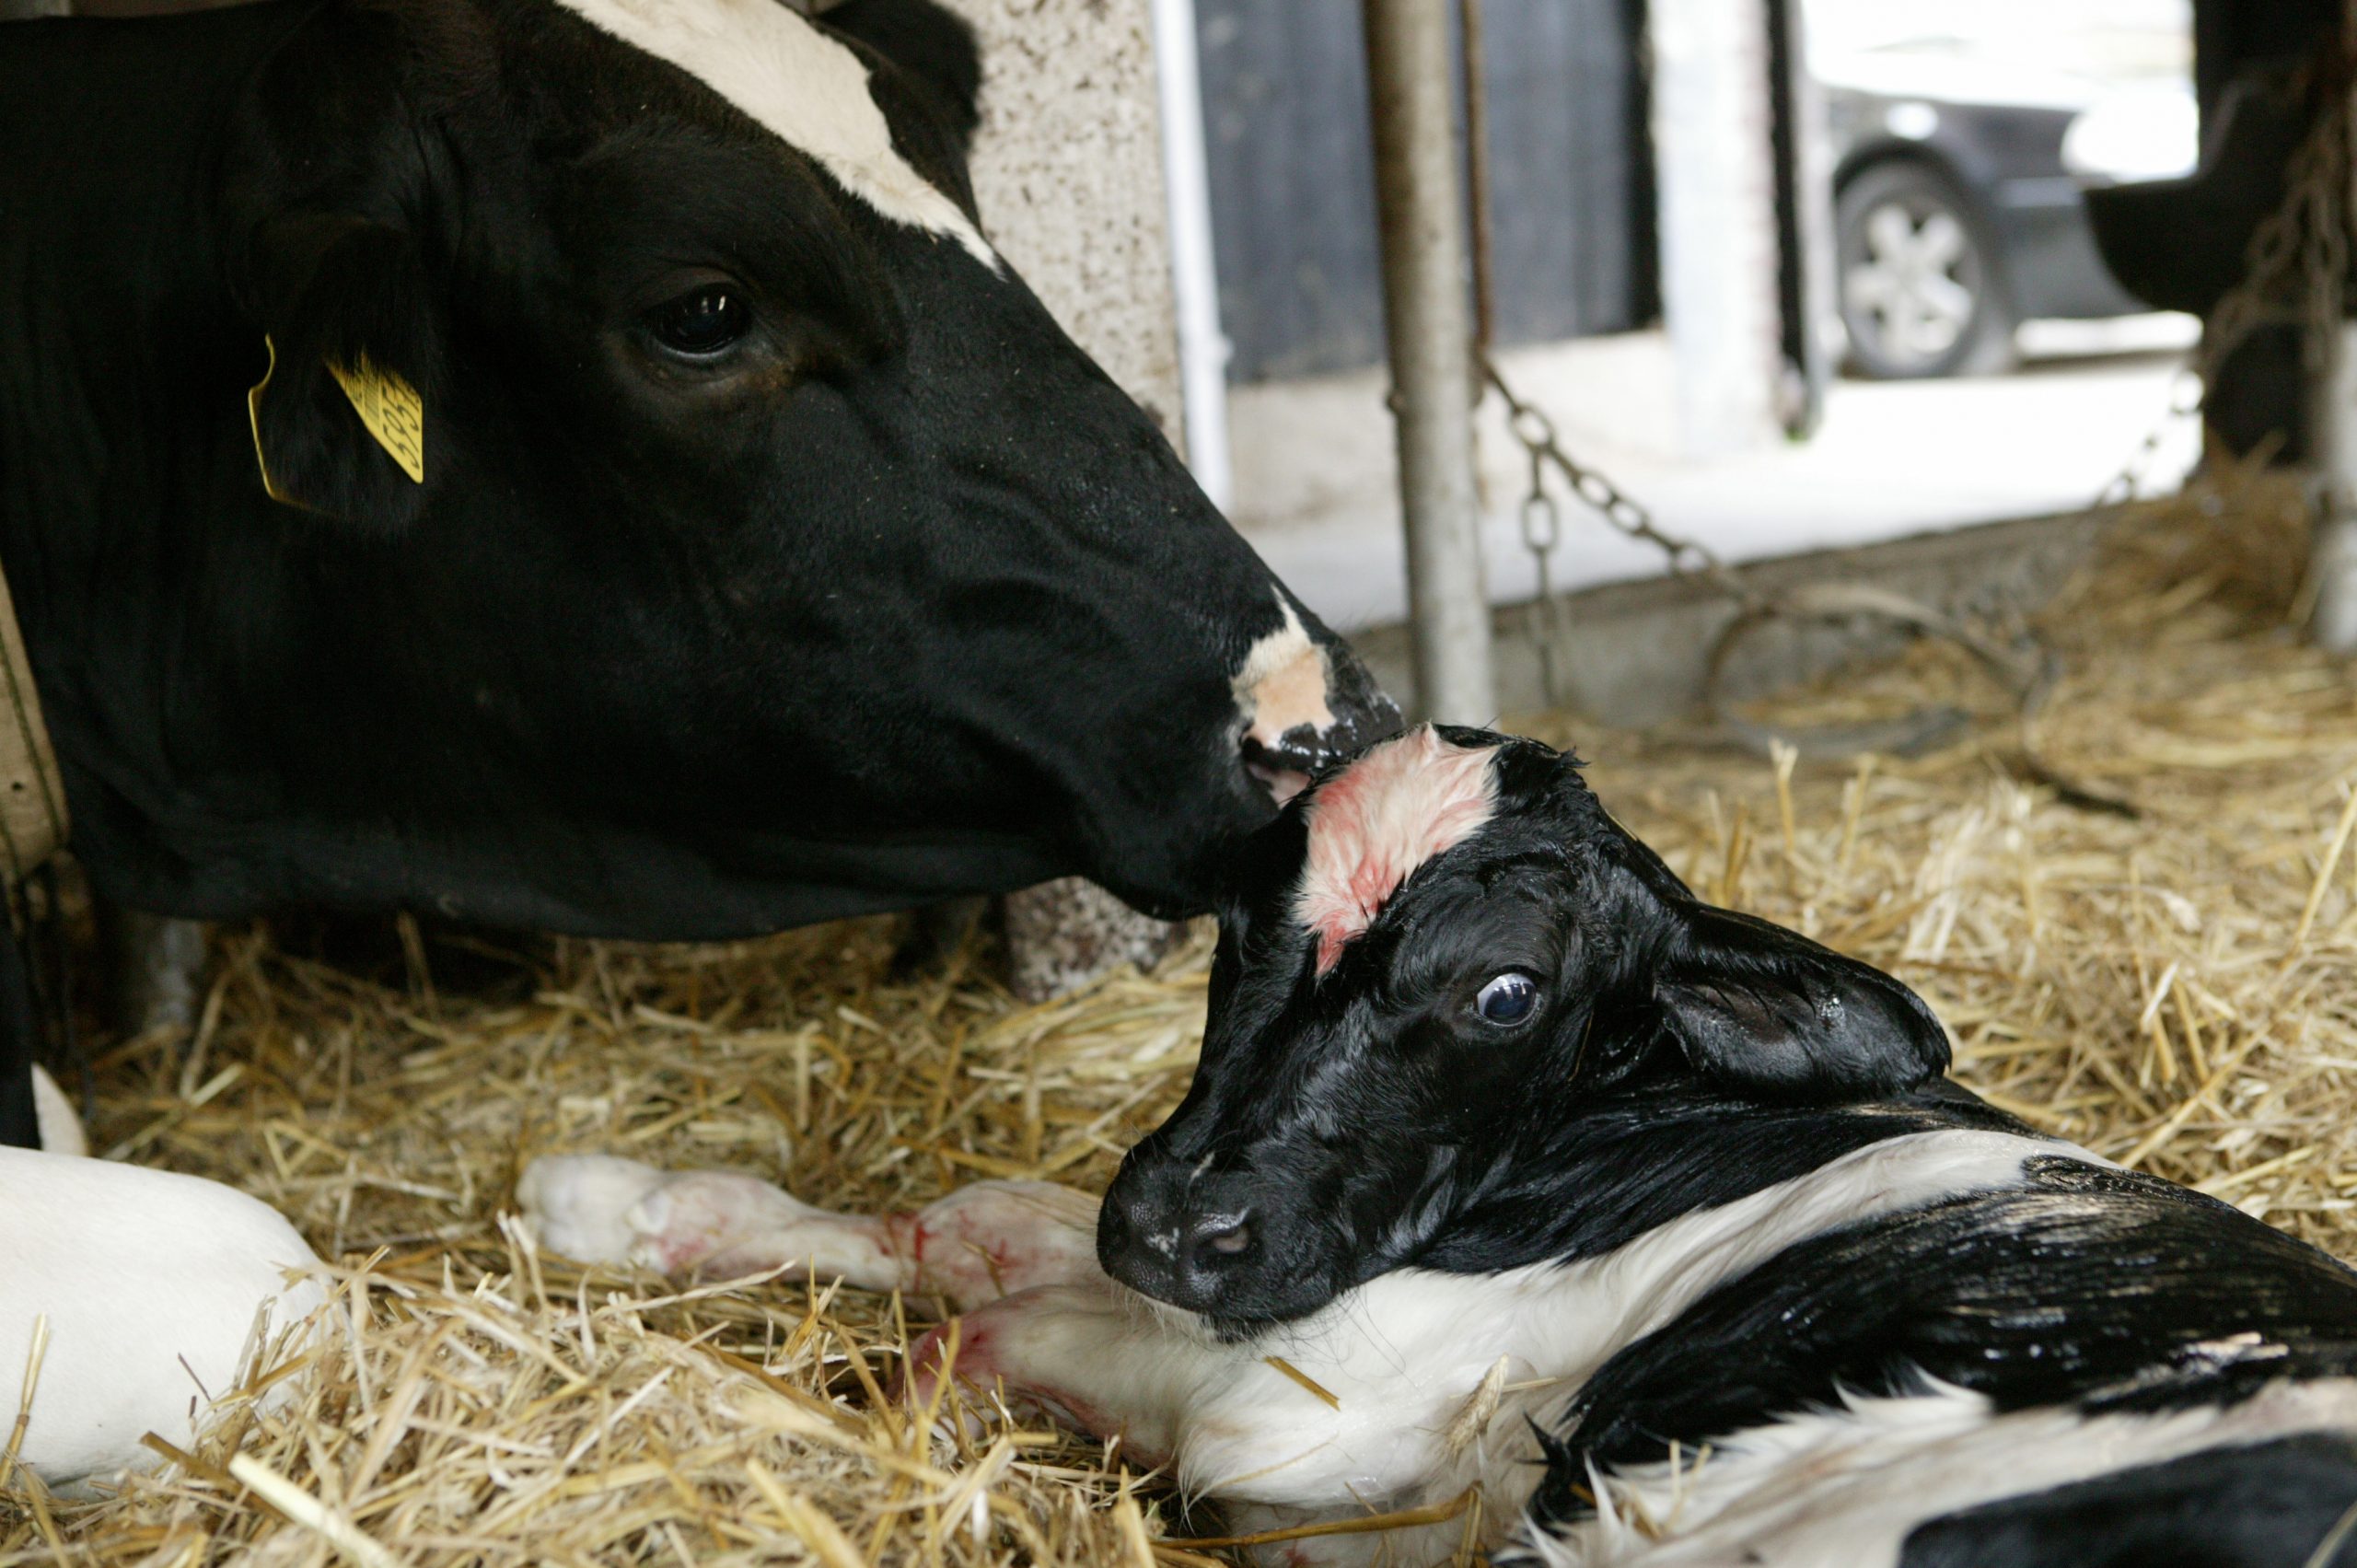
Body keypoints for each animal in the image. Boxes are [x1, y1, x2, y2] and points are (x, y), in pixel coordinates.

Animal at [525, 726, 2357, 1556]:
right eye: (1233, 927)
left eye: (1502, 988)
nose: (1176, 1223)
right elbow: (966, 1219)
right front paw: (614, 1203)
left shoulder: (1308, 1400)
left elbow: (993, 1296)